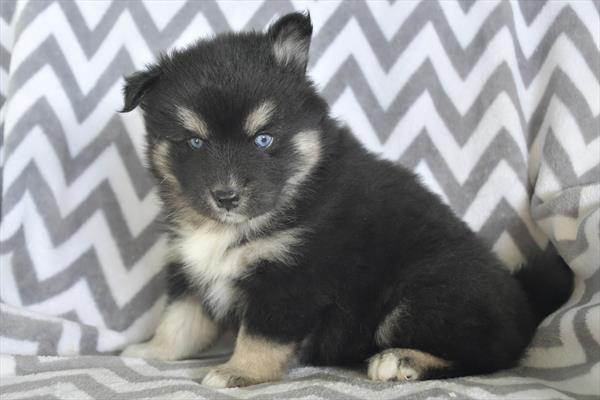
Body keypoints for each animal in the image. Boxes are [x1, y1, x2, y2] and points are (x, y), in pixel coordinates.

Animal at [120, 12, 572, 388]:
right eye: (194, 142)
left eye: (263, 139)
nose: (226, 196)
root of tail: (525, 303)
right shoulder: (191, 268)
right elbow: (179, 321)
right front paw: (149, 350)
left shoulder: (291, 280)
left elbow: (261, 335)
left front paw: (239, 371)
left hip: (422, 297)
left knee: (493, 355)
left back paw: (402, 361)